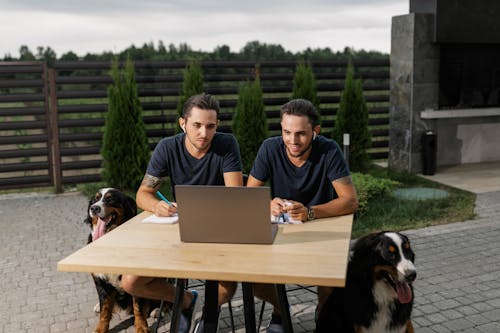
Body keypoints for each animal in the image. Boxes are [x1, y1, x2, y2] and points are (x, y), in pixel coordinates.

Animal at [84, 188, 158, 332]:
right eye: (95, 199)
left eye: (110, 199)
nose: (94, 208)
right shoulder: (100, 281)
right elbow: (105, 309)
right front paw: (101, 328)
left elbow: (138, 307)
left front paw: (141, 326)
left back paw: (157, 310)